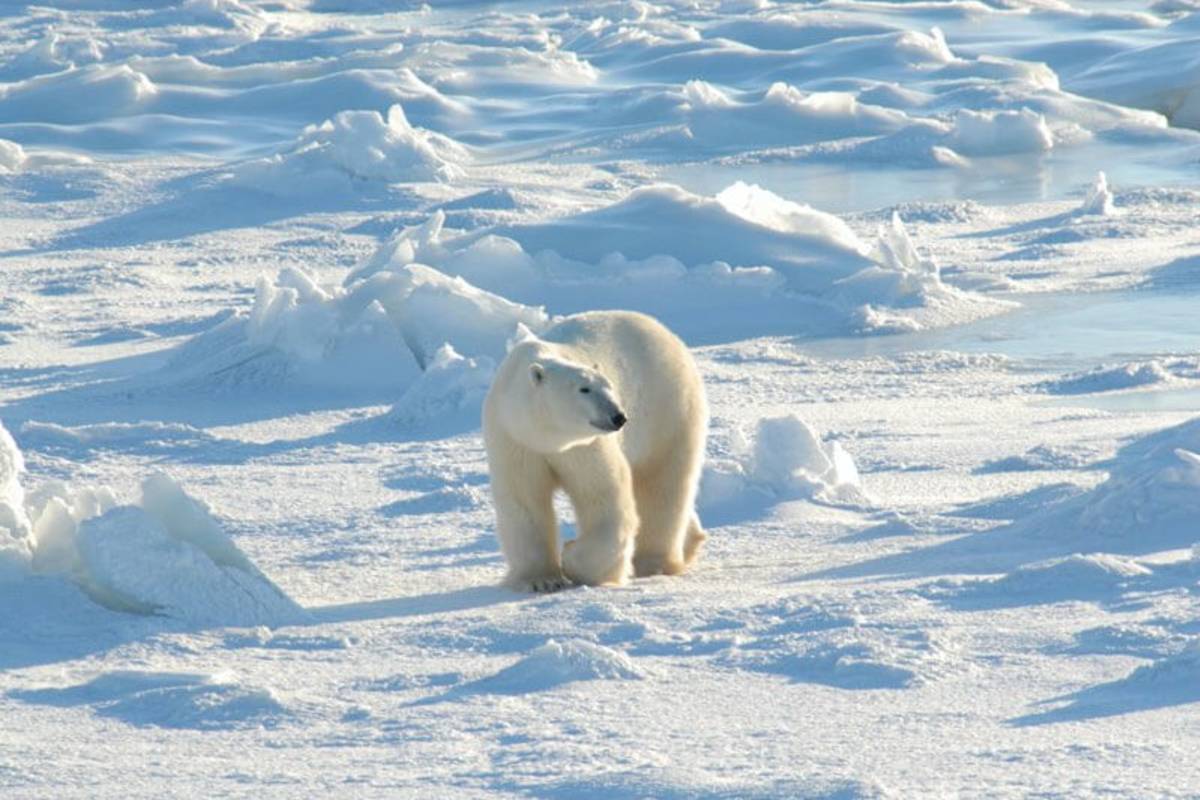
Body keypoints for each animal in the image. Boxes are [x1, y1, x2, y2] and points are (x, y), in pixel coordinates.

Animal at [482, 309, 705, 592]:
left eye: (609, 385)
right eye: (584, 389)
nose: (618, 417)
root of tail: (667, 334)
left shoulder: (585, 446)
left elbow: (603, 494)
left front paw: (571, 556)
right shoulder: (514, 441)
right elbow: (524, 501)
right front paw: (540, 580)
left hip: (668, 407)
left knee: (663, 483)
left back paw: (652, 563)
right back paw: (691, 538)